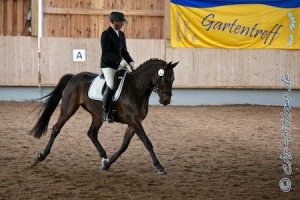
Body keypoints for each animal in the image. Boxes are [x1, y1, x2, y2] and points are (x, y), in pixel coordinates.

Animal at [29, 58, 178, 174]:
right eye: (165, 79)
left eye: (173, 79)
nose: (166, 101)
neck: (136, 89)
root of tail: (74, 77)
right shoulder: (134, 121)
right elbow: (147, 143)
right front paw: (159, 166)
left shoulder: (133, 123)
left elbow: (124, 145)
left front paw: (107, 164)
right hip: (68, 109)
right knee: (56, 129)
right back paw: (41, 155)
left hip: (97, 115)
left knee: (92, 133)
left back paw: (104, 157)